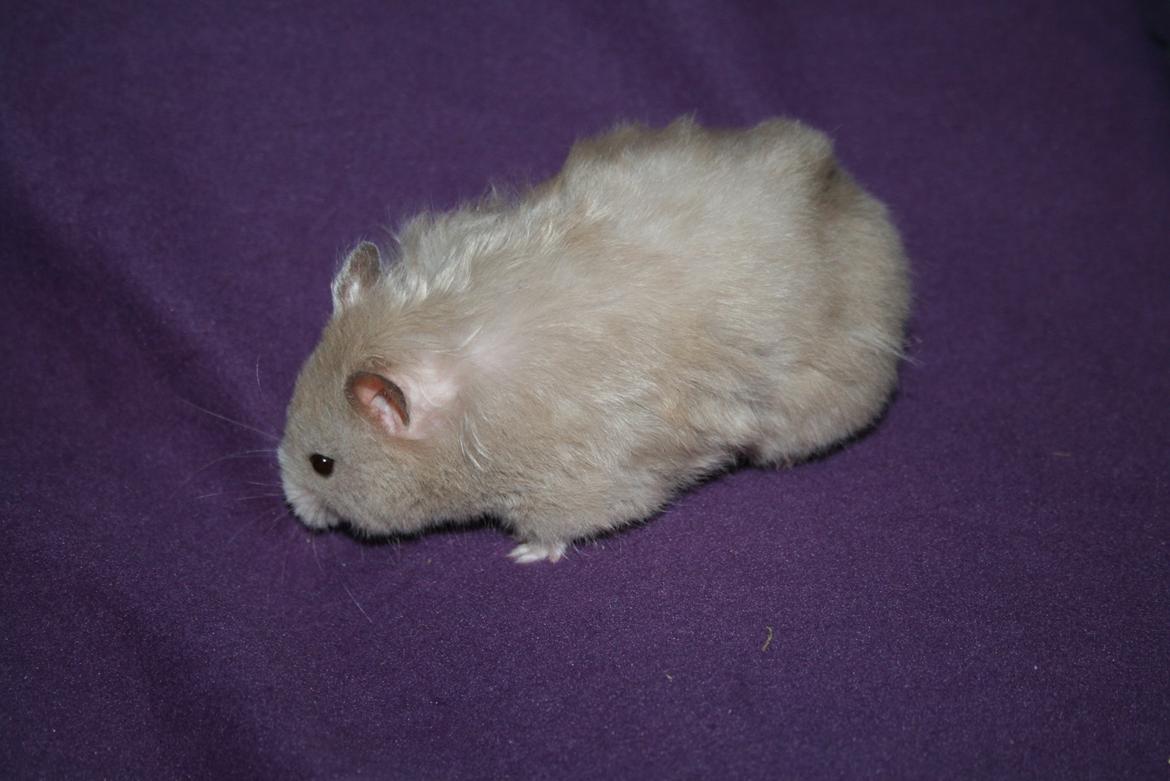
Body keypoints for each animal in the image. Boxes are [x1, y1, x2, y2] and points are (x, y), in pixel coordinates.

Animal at [279, 117, 910, 563]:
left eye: (322, 464)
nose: (297, 511)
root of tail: (871, 216)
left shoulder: (580, 483)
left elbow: (557, 527)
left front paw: (524, 553)